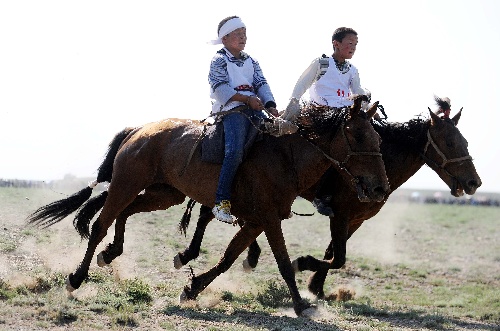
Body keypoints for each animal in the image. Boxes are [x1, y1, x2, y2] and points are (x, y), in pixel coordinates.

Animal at [27, 96, 390, 316]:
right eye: (358, 136)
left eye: (378, 138)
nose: (379, 187)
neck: (284, 156)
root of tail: (139, 130)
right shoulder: (269, 219)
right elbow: (285, 264)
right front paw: (301, 305)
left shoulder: (256, 220)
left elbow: (229, 257)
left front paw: (193, 287)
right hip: (125, 184)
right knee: (100, 224)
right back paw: (77, 277)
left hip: (164, 195)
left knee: (124, 215)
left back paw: (111, 253)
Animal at [174, 97, 482, 300]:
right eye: (451, 142)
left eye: (465, 141)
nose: (473, 183)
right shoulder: (341, 214)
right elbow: (338, 258)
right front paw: (302, 265)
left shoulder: (355, 220)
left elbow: (333, 254)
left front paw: (316, 287)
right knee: (209, 213)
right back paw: (194, 254)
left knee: (221, 215)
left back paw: (242, 255)